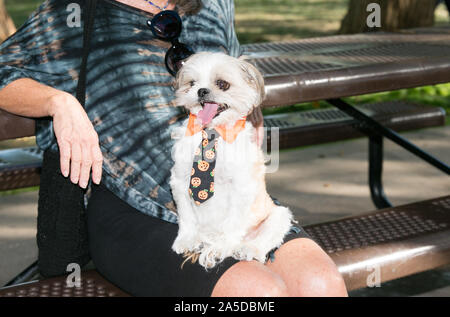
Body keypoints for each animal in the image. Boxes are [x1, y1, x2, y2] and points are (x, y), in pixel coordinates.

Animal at [171, 50, 294, 268]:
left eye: (222, 84)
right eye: (192, 83)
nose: (201, 91)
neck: (212, 132)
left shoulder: (240, 189)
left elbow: (232, 223)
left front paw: (220, 249)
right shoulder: (180, 182)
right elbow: (187, 217)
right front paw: (187, 239)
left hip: (279, 216)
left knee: (262, 242)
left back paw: (246, 248)